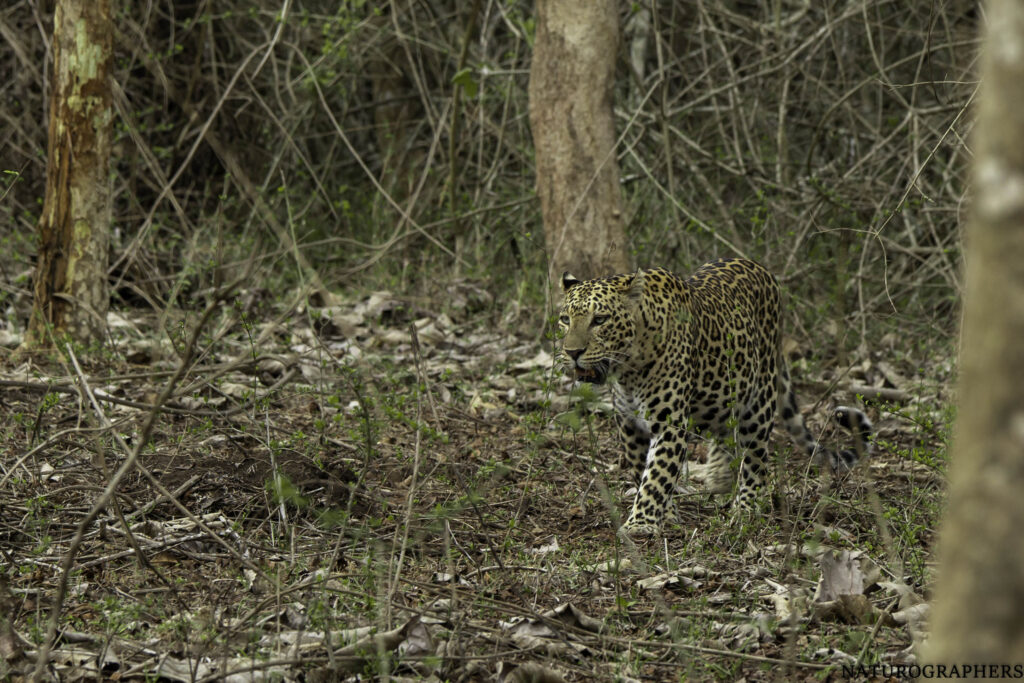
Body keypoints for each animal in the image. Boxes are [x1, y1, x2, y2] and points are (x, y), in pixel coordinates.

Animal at [557, 257, 873, 536]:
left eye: (600, 320)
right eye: (564, 320)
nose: (572, 352)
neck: (629, 369)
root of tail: (763, 270)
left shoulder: (668, 424)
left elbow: (656, 476)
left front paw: (641, 524)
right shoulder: (630, 425)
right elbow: (642, 472)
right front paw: (666, 515)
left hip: (759, 401)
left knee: (756, 459)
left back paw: (745, 508)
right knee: (726, 432)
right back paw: (720, 480)